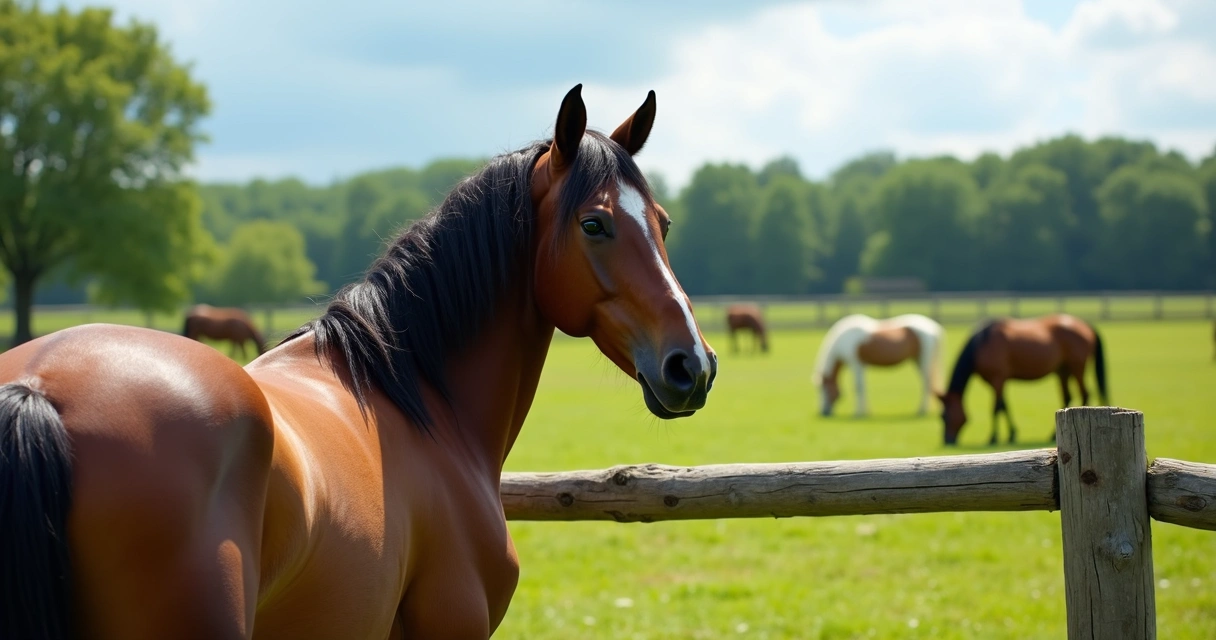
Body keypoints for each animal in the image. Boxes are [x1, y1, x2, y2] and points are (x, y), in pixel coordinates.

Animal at [811, 313, 944, 417]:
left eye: (824, 389)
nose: (823, 412)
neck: (843, 340)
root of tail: (934, 327)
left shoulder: (856, 363)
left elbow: (858, 387)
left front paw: (858, 413)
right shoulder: (862, 365)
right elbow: (863, 386)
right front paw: (866, 411)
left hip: (923, 359)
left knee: (927, 383)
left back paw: (921, 411)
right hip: (916, 359)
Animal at [938, 313, 1107, 446]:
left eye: (944, 416)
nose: (947, 441)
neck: (981, 344)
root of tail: (1085, 325)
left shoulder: (997, 379)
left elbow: (996, 408)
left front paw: (993, 438)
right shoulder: (1001, 381)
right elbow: (1004, 406)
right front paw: (1011, 435)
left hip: (1077, 368)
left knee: (1085, 393)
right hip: (1063, 371)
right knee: (1067, 397)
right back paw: (1052, 435)